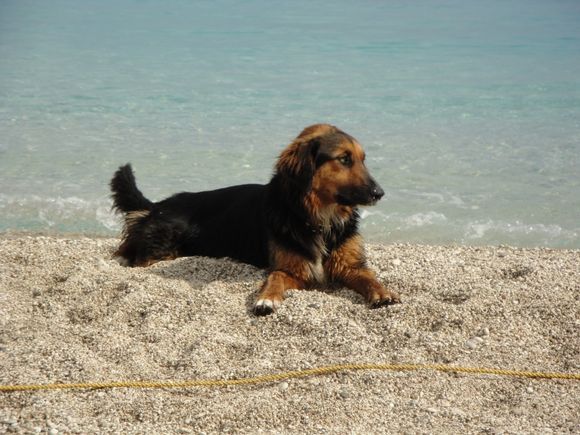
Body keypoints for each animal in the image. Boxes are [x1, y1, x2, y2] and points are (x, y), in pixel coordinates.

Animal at [110, 124, 398, 316]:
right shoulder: (290, 268)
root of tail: (158, 205)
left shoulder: (350, 265)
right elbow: (275, 279)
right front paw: (266, 299)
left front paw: (383, 292)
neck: (320, 218)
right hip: (163, 245)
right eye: (344, 159)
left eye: (362, 160)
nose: (380, 193)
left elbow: (369, 278)